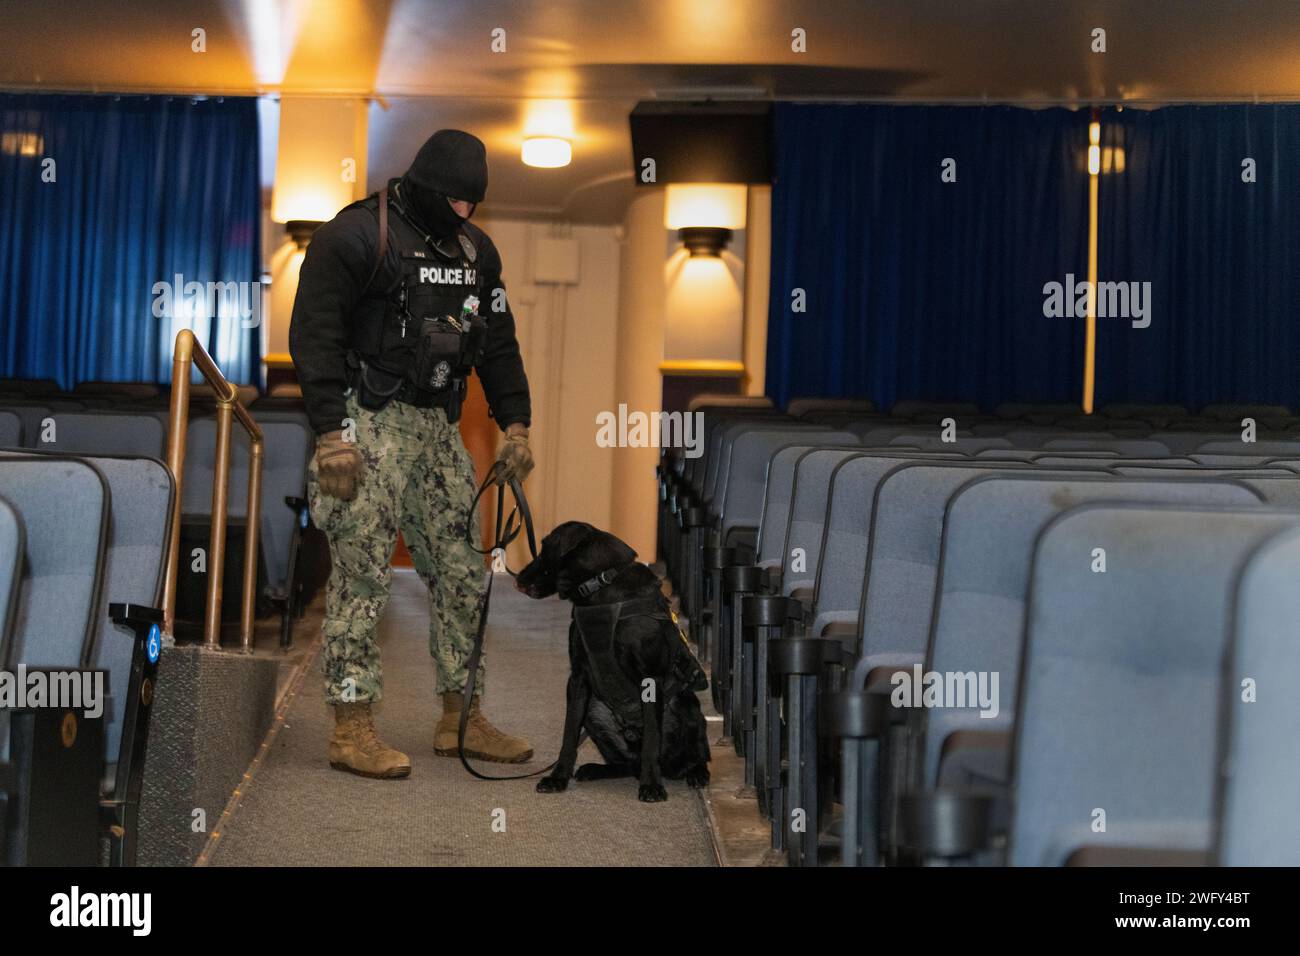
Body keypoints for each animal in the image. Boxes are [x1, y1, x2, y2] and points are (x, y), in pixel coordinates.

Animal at [514, 522, 712, 801]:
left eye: (545, 548)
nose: (518, 580)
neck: (601, 586)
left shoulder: (650, 679)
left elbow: (652, 739)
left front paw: (652, 785)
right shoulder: (578, 679)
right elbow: (569, 734)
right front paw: (558, 777)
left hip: (687, 708)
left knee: (692, 756)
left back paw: (695, 773)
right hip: (594, 711)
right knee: (627, 764)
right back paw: (596, 769)